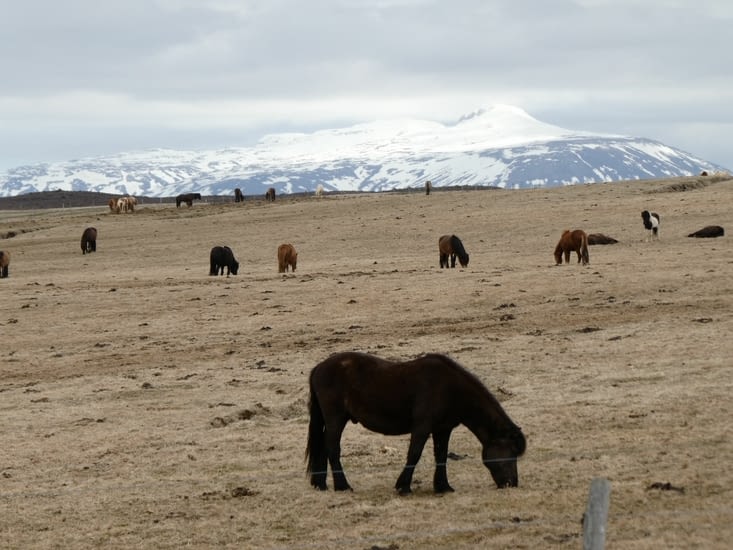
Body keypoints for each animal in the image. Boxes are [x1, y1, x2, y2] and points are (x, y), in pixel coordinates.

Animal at [306, 351, 526, 494]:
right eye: (510, 453)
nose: (512, 483)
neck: (450, 389)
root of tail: (318, 368)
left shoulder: (443, 429)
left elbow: (441, 456)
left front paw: (443, 486)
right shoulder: (422, 427)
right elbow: (414, 454)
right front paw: (403, 486)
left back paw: (321, 484)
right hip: (336, 419)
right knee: (332, 449)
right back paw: (343, 486)